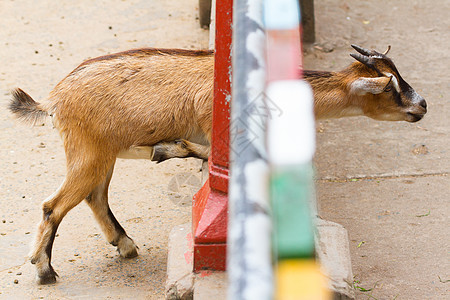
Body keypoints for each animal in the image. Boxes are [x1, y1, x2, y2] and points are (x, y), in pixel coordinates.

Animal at [7, 44, 426, 284]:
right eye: (391, 86)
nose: (422, 105)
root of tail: (53, 99)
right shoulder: (219, 129)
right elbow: (210, 157)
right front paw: (168, 148)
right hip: (88, 151)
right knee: (53, 205)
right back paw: (45, 270)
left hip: (100, 154)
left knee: (95, 197)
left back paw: (125, 244)